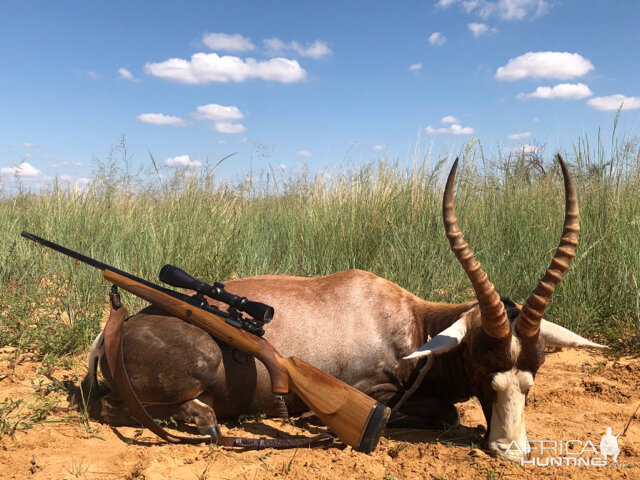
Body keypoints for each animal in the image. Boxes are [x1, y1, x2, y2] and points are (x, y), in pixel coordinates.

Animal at [82, 156, 604, 460]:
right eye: (481, 361)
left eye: (534, 369)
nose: (510, 450)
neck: (412, 323)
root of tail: (114, 331)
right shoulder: (373, 390)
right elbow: (444, 415)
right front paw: (308, 419)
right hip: (201, 363)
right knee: (116, 407)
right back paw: (206, 419)